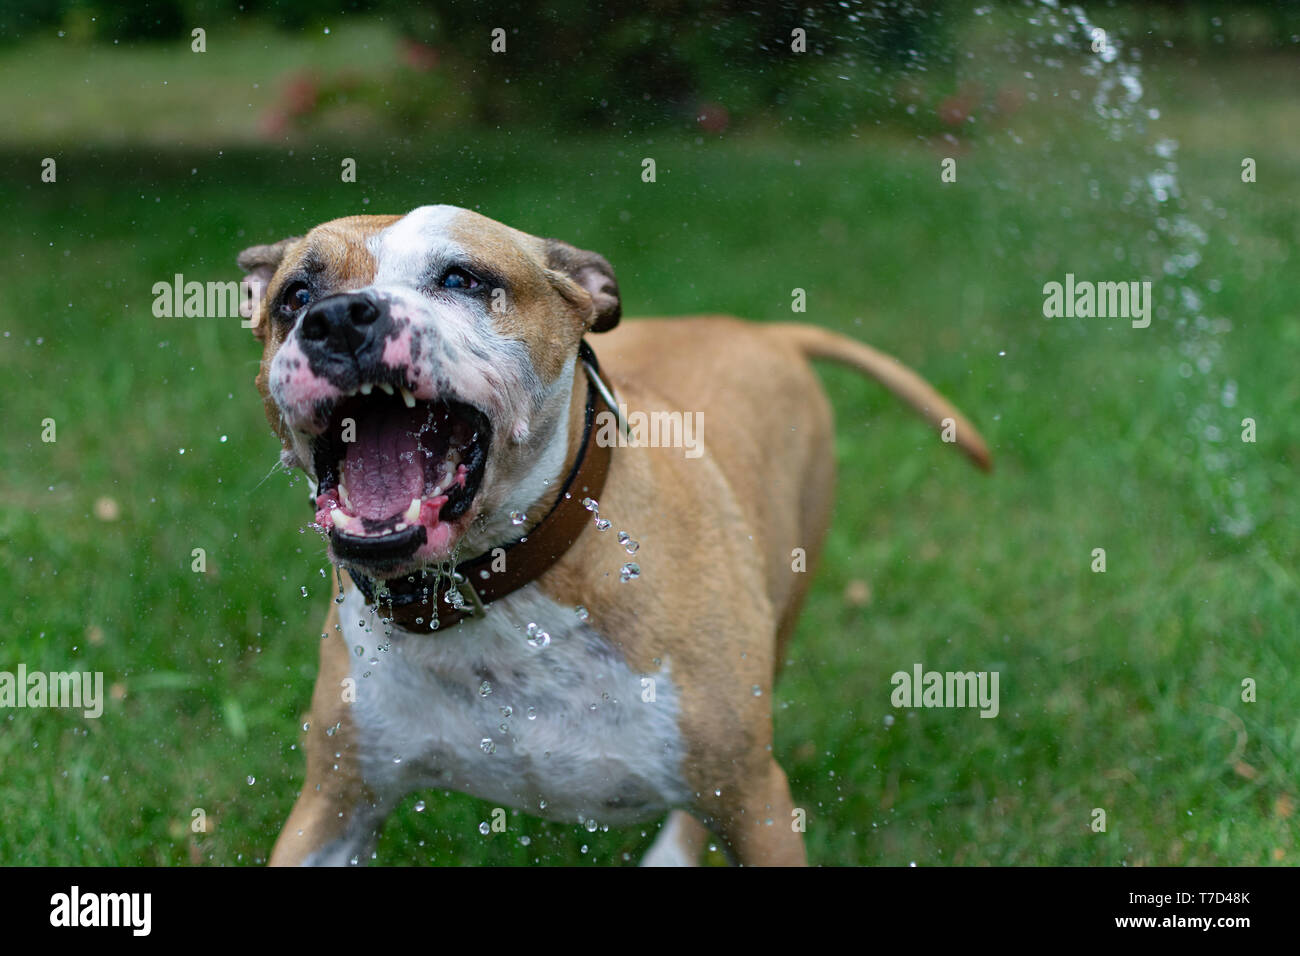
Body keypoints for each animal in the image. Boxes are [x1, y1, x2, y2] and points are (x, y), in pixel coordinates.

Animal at [236, 205, 982, 868]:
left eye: (461, 279)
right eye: (295, 295)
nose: (335, 318)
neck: (505, 588)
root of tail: (766, 332)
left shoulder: (755, 801)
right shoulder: (334, 804)